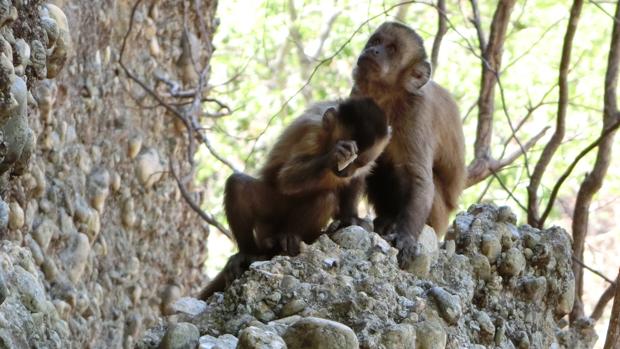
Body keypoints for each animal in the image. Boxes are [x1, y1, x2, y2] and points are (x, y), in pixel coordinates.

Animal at [199, 96, 390, 298]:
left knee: (324, 199)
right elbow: (287, 178)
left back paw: (291, 238)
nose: (345, 172)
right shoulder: (312, 132)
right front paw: (334, 154)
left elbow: (357, 180)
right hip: (270, 217)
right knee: (238, 185)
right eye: (346, 158)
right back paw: (250, 253)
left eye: (360, 162)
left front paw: (350, 218)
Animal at [348, 21, 464, 270]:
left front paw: (405, 237)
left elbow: (419, 178)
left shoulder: (416, 111)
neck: (389, 97)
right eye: (376, 41)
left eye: (391, 49)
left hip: (439, 217)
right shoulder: (359, 97)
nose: (373, 51)